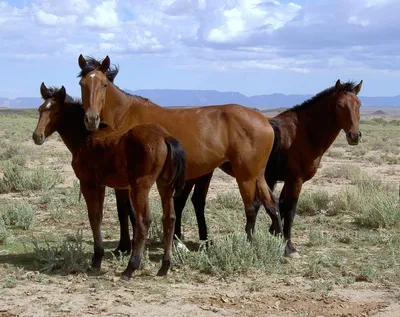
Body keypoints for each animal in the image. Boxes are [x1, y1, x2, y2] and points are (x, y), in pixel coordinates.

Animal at [77, 54, 284, 248]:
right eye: (82, 84)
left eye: (104, 84)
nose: (91, 119)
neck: (126, 115)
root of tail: (266, 121)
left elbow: (128, 212)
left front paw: (127, 247)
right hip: (257, 174)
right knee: (272, 204)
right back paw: (284, 244)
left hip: (245, 175)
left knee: (251, 207)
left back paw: (250, 243)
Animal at [174, 78, 362, 256]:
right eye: (339, 105)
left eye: (358, 104)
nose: (354, 136)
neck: (302, 133)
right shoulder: (295, 180)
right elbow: (290, 210)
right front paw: (288, 245)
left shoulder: (284, 180)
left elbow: (280, 206)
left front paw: (275, 234)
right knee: (181, 200)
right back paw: (180, 241)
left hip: (206, 172)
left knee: (196, 200)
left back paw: (202, 241)